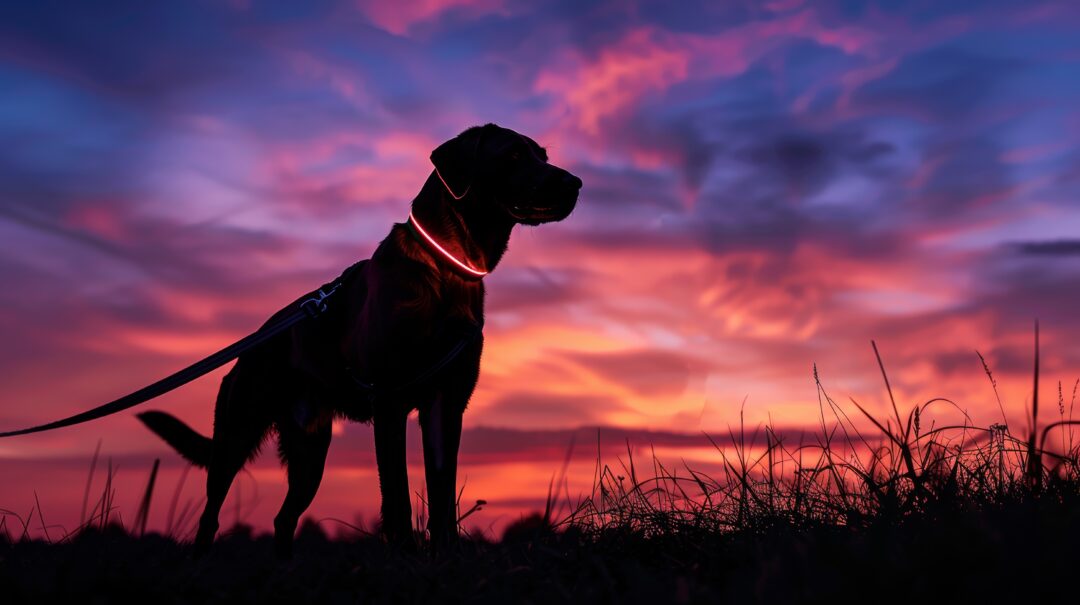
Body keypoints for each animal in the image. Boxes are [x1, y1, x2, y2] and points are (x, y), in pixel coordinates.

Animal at [140, 124, 587, 557]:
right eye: (513, 154)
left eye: (542, 155)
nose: (576, 182)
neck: (445, 268)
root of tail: (252, 343)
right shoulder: (390, 400)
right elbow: (398, 497)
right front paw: (406, 556)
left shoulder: (446, 405)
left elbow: (442, 499)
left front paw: (446, 557)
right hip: (236, 435)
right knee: (211, 514)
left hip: (310, 453)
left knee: (284, 519)